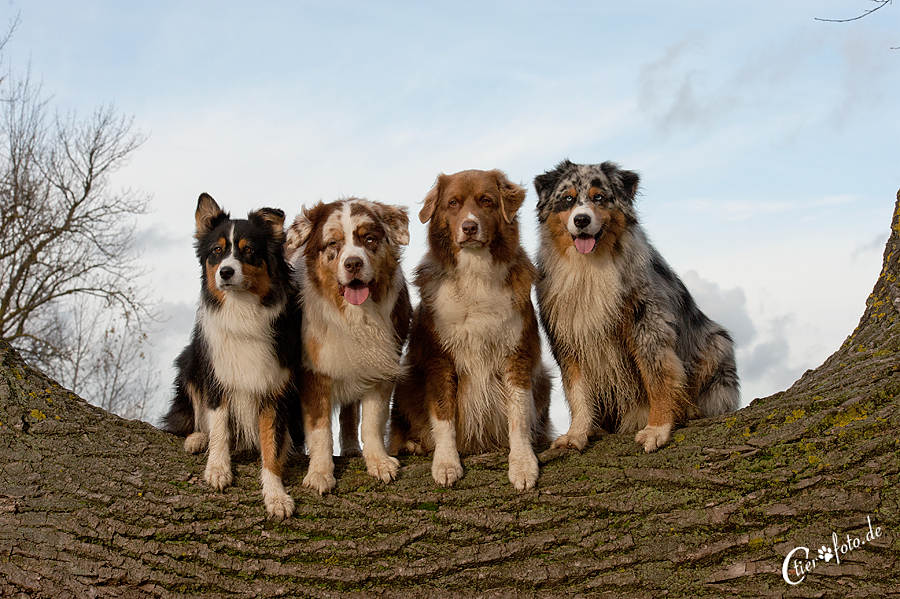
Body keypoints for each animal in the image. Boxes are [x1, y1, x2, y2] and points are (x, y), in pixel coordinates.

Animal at [284, 199, 412, 494]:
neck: (354, 315)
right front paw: (320, 472)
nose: (353, 263)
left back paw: (353, 448)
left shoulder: (379, 365)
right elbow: (319, 428)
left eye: (369, 238)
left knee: (349, 411)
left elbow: (372, 421)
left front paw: (378, 461)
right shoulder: (315, 370)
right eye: (333, 243)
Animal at [390, 169, 552, 492]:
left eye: (486, 201)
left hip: (544, 380)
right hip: (406, 382)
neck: (475, 273)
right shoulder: (439, 360)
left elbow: (518, 413)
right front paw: (446, 463)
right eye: (452, 203)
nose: (469, 227)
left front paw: (523, 463)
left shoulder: (518, 354)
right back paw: (412, 445)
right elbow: (443, 415)